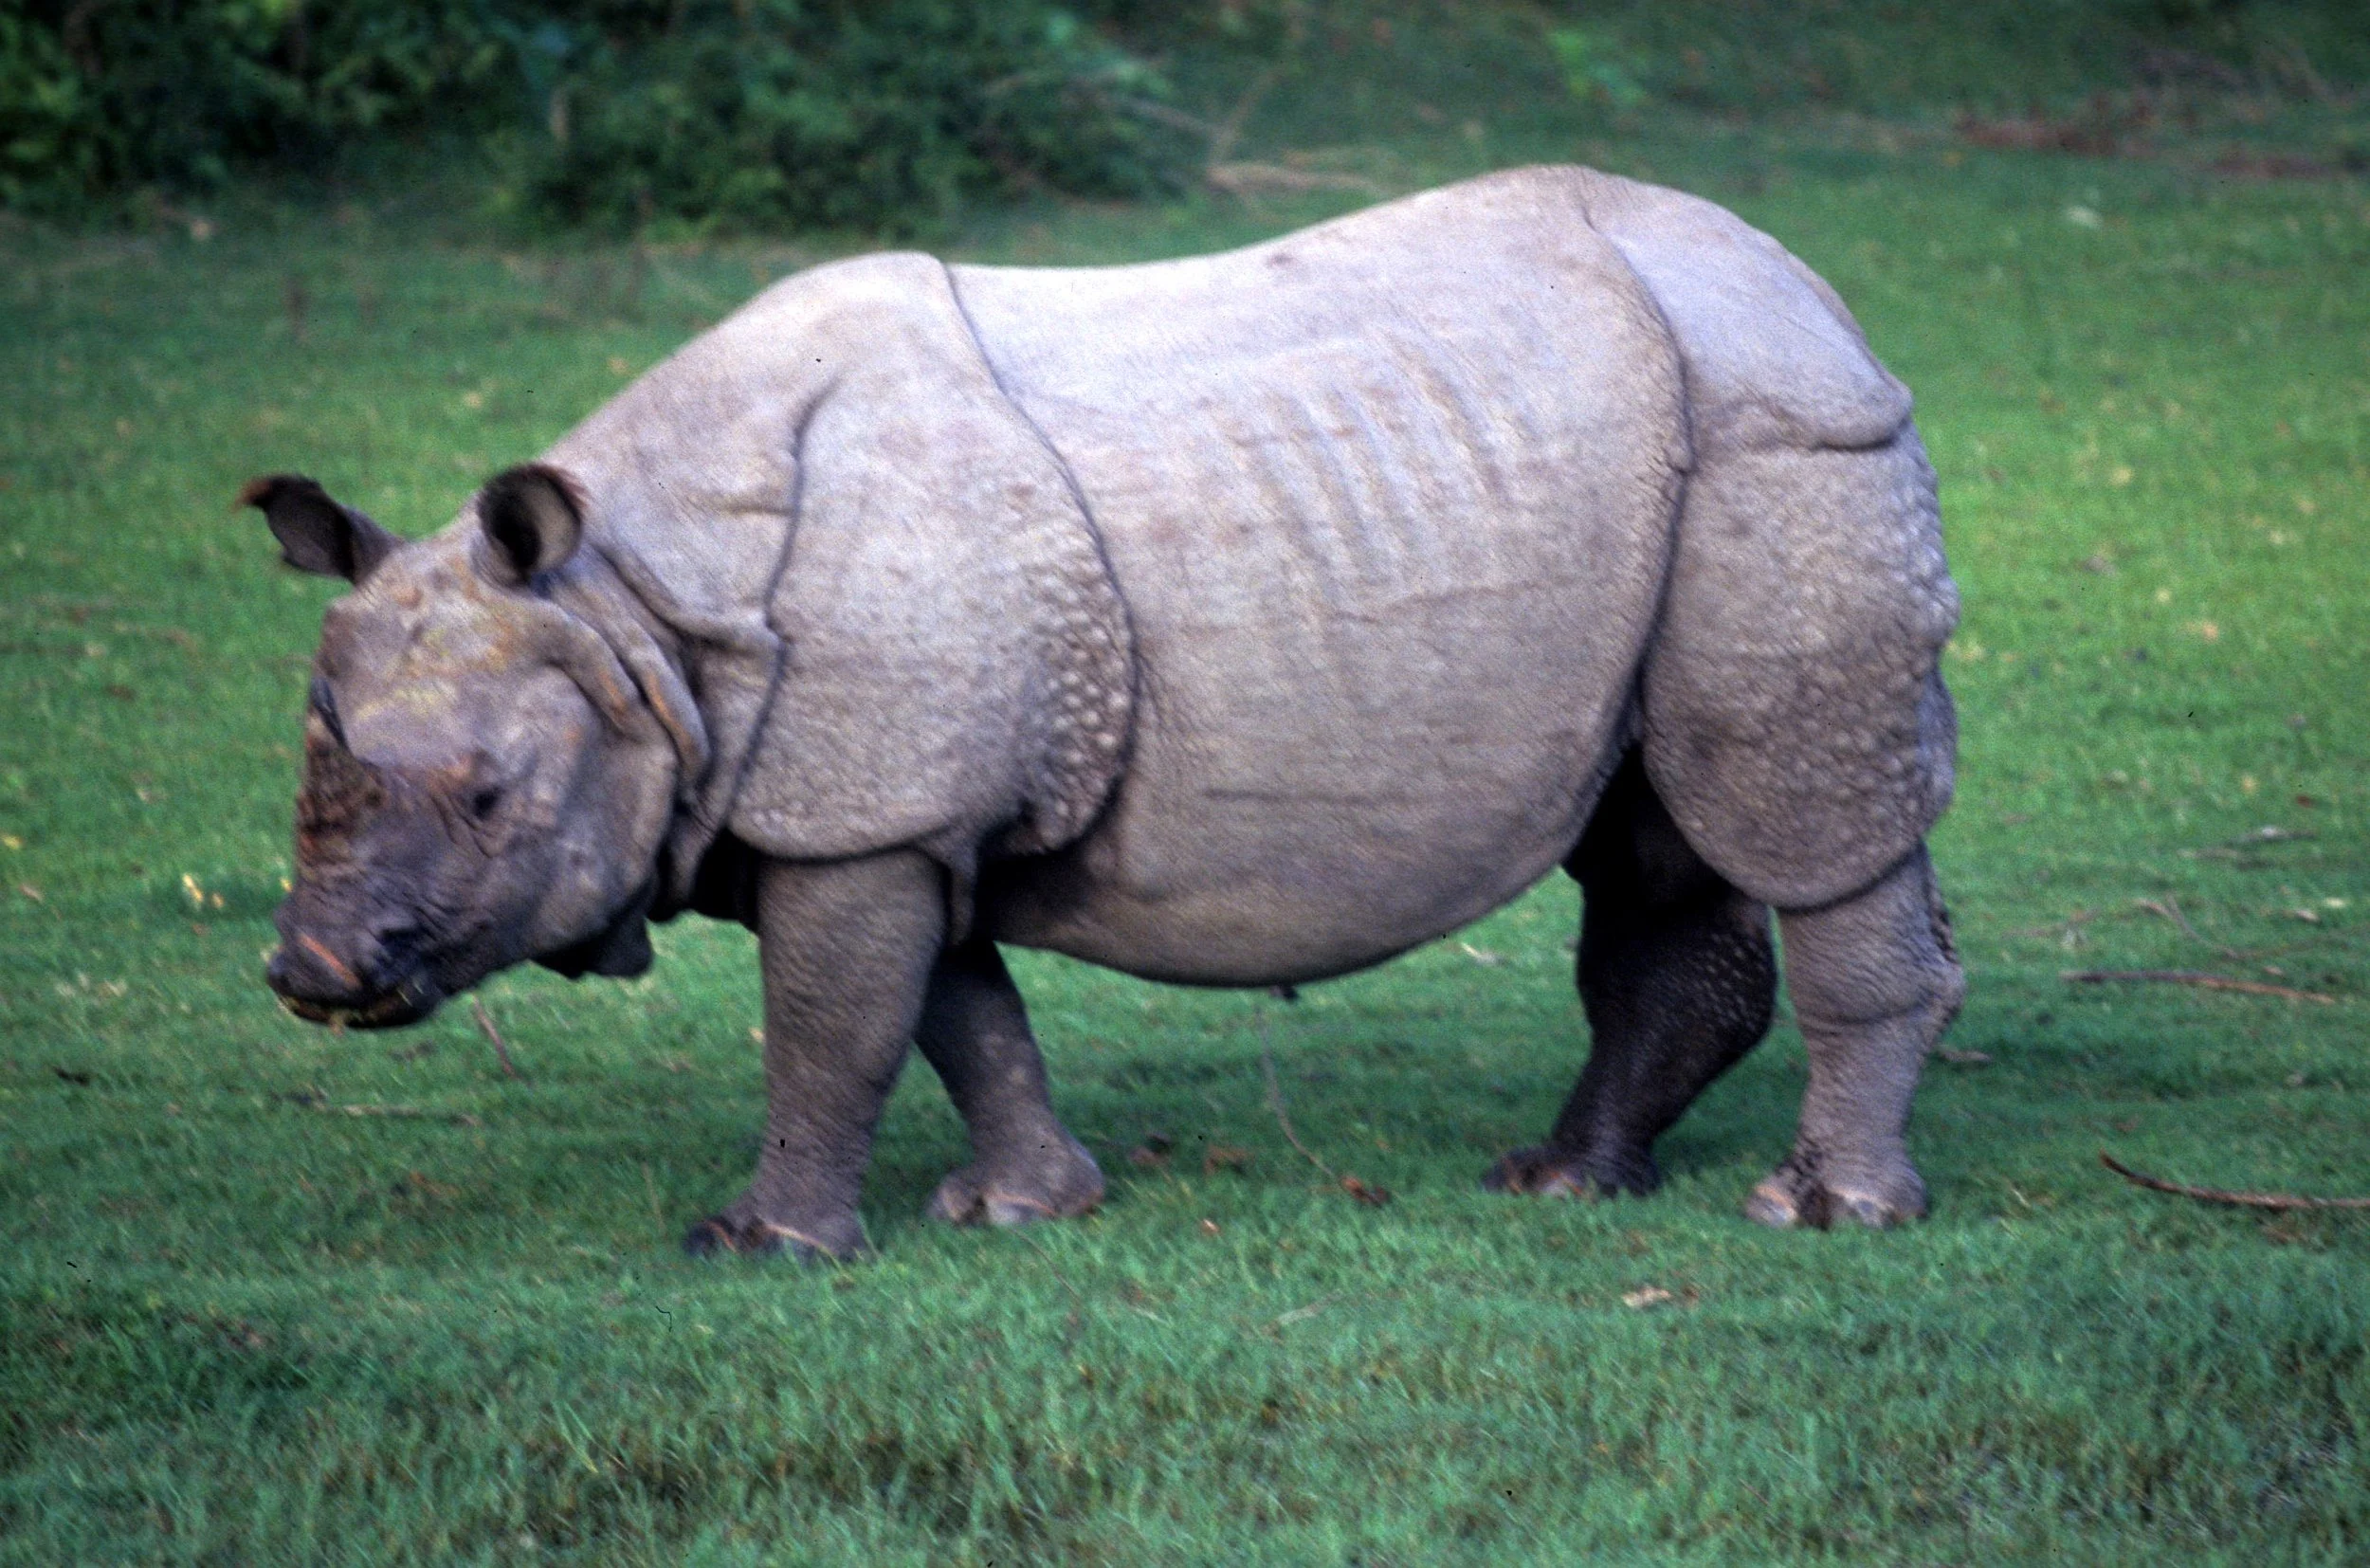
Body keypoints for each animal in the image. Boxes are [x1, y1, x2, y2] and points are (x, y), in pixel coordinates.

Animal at [249, 165, 1965, 1259]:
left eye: (489, 801)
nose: (311, 971)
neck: (630, 608)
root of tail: (1819, 294)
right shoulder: (903, 803)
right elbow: (951, 1006)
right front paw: (1021, 1207)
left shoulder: (862, 806)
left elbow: (832, 1019)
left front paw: (760, 1242)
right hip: (1693, 454)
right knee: (1658, 831)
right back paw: (1563, 1184)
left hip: (1787, 440)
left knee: (1804, 822)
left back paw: (1821, 1215)